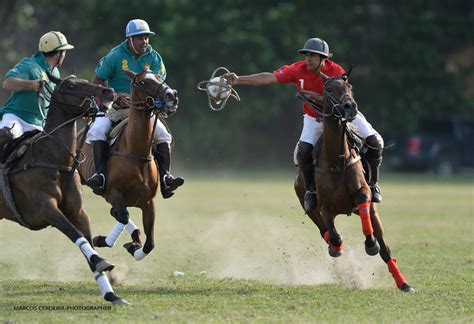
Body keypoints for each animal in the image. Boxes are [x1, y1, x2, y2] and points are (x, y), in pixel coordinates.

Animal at [0, 75, 130, 304]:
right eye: (71, 85)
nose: (108, 92)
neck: (55, 161)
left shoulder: (78, 212)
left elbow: (87, 241)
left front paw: (111, 294)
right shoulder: (46, 209)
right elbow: (74, 234)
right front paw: (101, 261)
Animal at [79, 69, 180, 262]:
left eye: (159, 77)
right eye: (142, 82)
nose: (172, 95)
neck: (136, 153)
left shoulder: (148, 202)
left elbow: (149, 244)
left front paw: (134, 246)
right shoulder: (113, 193)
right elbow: (123, 216)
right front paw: (101, 240)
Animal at [294, 74, 412, 292]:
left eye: (350, 87)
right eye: (329, 89)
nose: (350, 107)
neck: (336, 160)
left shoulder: (362, 194)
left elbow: (366, 210)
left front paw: (370, 244)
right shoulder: (325, 208)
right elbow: (333, 234)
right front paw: (336, 247)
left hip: (373, 213)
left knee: (385, 250)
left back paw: (404, 283)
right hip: (309, 208)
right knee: (324, 231)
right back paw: (334, 248)